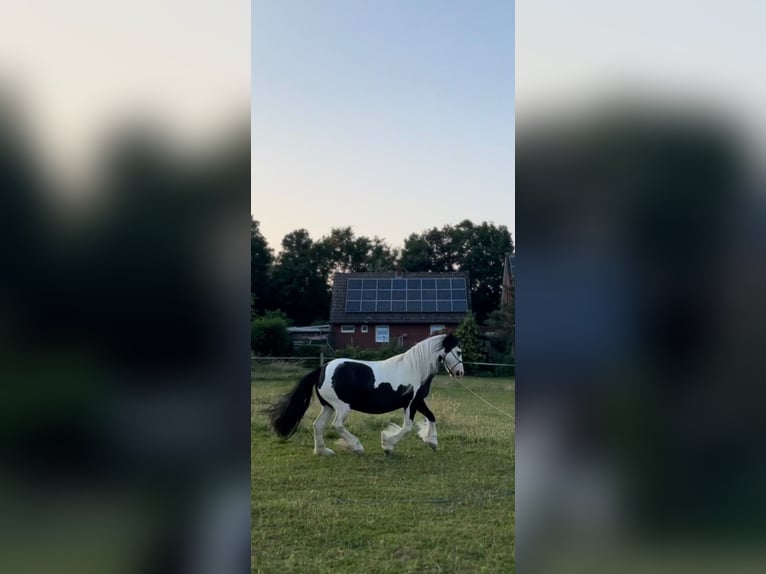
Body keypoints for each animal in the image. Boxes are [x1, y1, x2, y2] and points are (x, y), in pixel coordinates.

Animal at [265, 333, 464, 455]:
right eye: (459, 351)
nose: (460, 372)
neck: (415, 369)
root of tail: (322, 368)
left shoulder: (419, 401)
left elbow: (431, 416)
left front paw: (432, 442)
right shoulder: (411, 403)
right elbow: (407, 427)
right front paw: (387, 445)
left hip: (328, 406)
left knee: (318, 425)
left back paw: (324, 451)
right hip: (342, 407)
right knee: (337, 425)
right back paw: (357, 447)